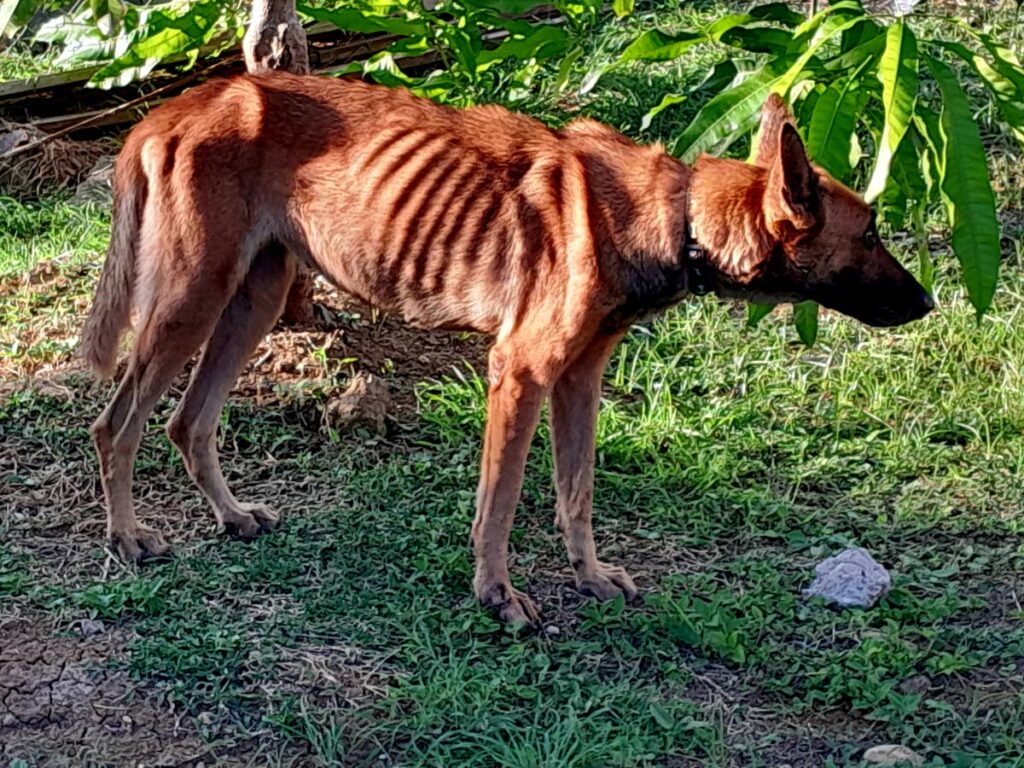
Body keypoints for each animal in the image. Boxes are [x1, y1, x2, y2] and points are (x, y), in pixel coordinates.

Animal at [77, 72, 929, 626]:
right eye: (873, 233)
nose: (929, 303)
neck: (677, 214)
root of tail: (172, 108)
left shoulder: (581, 379)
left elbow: (576, 495)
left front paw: (590, 578)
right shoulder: (519, 373)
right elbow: (503, 501)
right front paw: (497, 596)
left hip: (250, 302)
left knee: (187, 422)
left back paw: (230, 518)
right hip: (190, 304)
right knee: (115, 425)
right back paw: (125, 539)